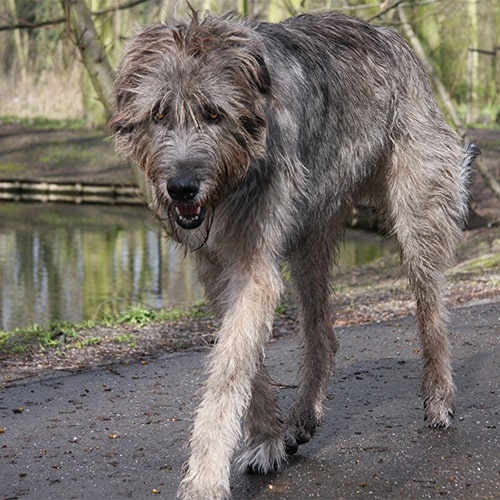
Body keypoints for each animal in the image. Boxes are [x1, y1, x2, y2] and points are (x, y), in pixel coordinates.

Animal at [111, 9, 478, 498]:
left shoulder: (254, 265)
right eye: (158, 113)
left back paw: (438, 397)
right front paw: (267, 438)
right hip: (312, 230)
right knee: (322, 329)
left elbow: (229, 371)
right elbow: (245, 359)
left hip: (417, 211)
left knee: (431, 306)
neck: (237, 174)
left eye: (213, 113)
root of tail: (393, 38)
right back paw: (303, 415)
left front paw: (205, 478)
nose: (182, 187)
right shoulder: (218, 267)